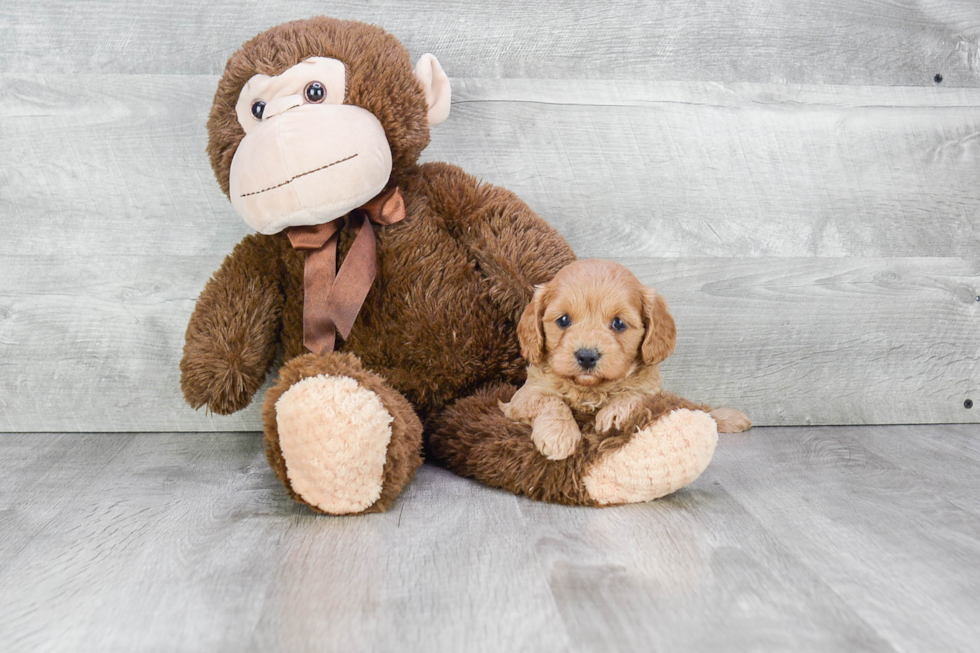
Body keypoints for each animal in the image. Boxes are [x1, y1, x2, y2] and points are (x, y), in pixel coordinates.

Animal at [502, 258, 748, 458]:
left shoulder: (652, 390)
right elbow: (550, 400)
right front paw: (558, 435)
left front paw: (614, 412)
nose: (587, 356)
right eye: (563, 320)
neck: (591, 389)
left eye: (619, 323)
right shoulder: (522, 397)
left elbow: (637, 395)